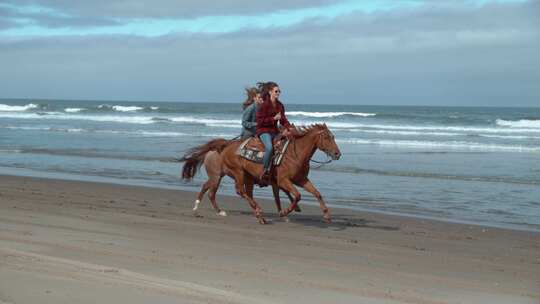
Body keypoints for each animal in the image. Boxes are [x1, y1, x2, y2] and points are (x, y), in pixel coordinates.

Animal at [181, 124, 342, 224]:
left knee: (216, 191)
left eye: (333, 136)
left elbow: (317, 193)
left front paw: (326, 215)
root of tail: (225, 146)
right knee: (234, 191)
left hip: (236, 177)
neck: (294, 154)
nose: (337, 154)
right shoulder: (283, 180)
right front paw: (285, 212)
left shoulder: (300, 180)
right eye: (327, 137)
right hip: (232, 173)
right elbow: (296, 196)